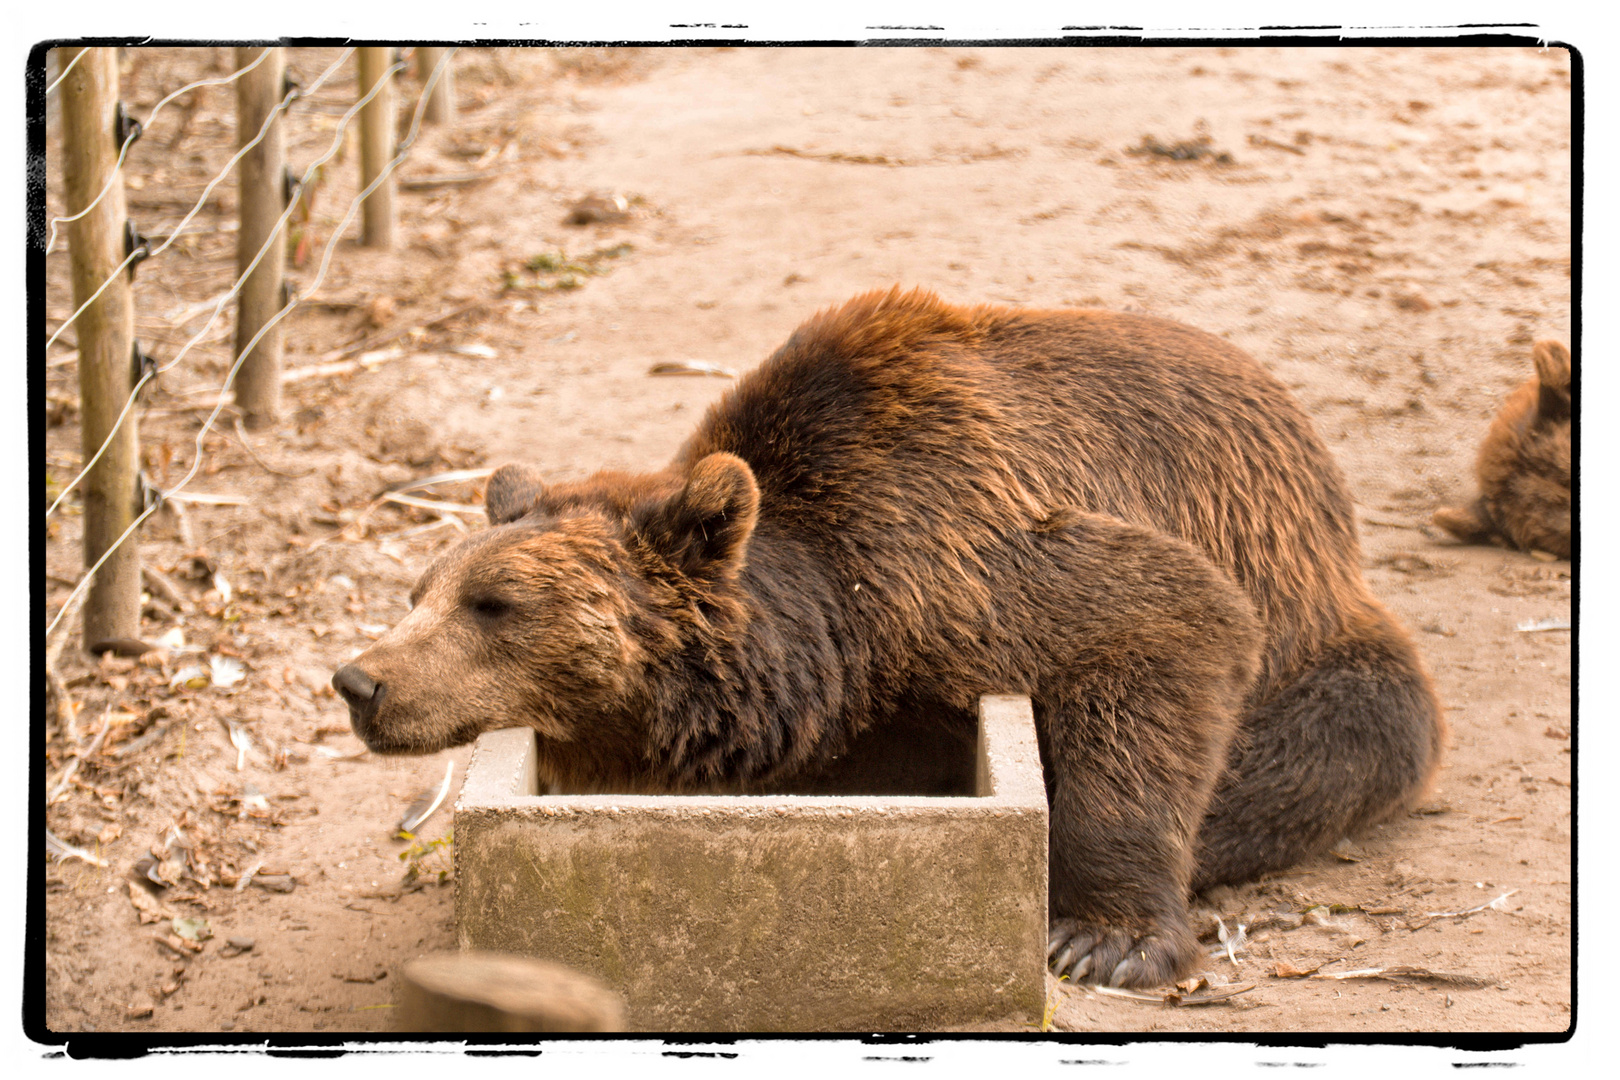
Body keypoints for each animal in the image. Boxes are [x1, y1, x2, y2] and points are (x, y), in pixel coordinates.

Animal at [328, 286, 1445, 990]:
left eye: (495, 603)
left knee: (1320, 744)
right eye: (421, 589)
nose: (360, 682)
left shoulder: (969, 553)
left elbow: (1163, 625)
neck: (841, 630)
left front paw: (1104, 940)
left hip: (1312, 621)